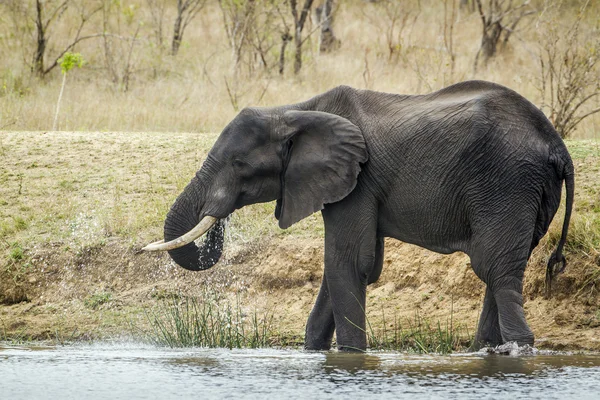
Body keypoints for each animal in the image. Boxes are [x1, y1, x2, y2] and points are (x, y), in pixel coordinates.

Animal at [143, 80, 576, 350]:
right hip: (528, 192)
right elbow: (343, 267)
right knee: (500, 269)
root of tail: (556, 145)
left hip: (506, 183)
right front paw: (314, 351)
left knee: (495, 268)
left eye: (238, 165)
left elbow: (350, 263)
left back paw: (517, 348)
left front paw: (351, 356)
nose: (218, 214)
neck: (293, 111)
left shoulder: (359, 180)